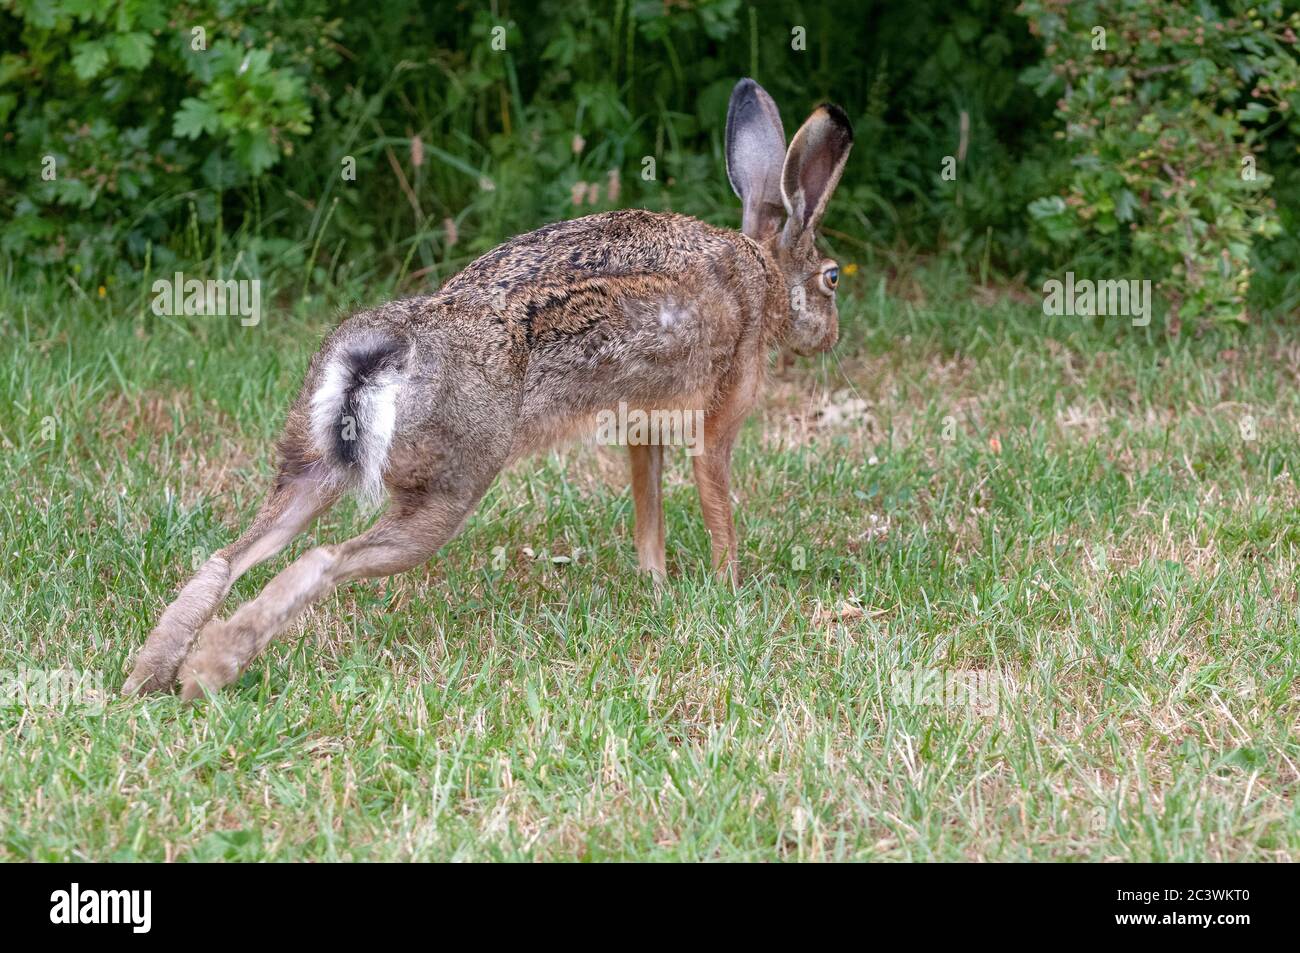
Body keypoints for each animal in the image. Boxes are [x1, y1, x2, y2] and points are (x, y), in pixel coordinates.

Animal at [123, 78, 853, 699]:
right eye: (833, 277)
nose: (831, 337)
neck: (762, 274)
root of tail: (394, 348)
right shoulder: (720, 414)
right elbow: (715, 500)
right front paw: (727, 589)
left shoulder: (642, 426)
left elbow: (649, 509)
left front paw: (655, 583)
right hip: (451, 487)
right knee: (323, 559)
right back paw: (209, 670)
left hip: (312, 464)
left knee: (230, 556)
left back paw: (149, 676)